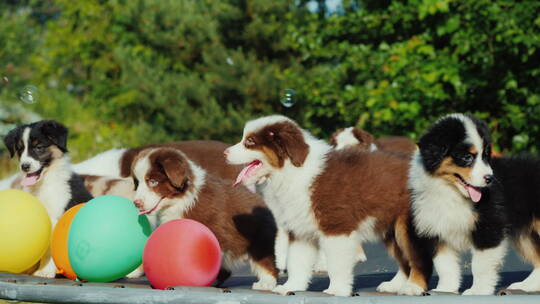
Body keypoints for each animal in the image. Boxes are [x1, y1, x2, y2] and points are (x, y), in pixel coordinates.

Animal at [127, 147, 278, 290]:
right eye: (137, 183)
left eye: (153, 182)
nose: (136, 203)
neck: (181, 199)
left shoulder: (216, 229)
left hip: (261, 238)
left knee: (267, 260)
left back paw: (266, 283)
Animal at [225, 115, 430, 296]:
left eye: (249, 141)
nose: (225, 152)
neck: (290, 170)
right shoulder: (300, 229)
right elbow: (296, 261)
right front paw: (291, 287)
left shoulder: (336, 227)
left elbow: (336, 263)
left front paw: (337, 290)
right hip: (391, 227)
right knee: (404, 259)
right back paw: (395, 285)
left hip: (408, 225)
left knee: (417, 258)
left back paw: (413, 287)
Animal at [410, 114, 506, 294]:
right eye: (467, 157)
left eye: (486, 156)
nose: (489, 178)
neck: (451, 192)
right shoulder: (438, 230)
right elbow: (444, 265)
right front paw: (445, 289)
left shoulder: (488, 228)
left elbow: (480, 266)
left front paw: (478, 291)